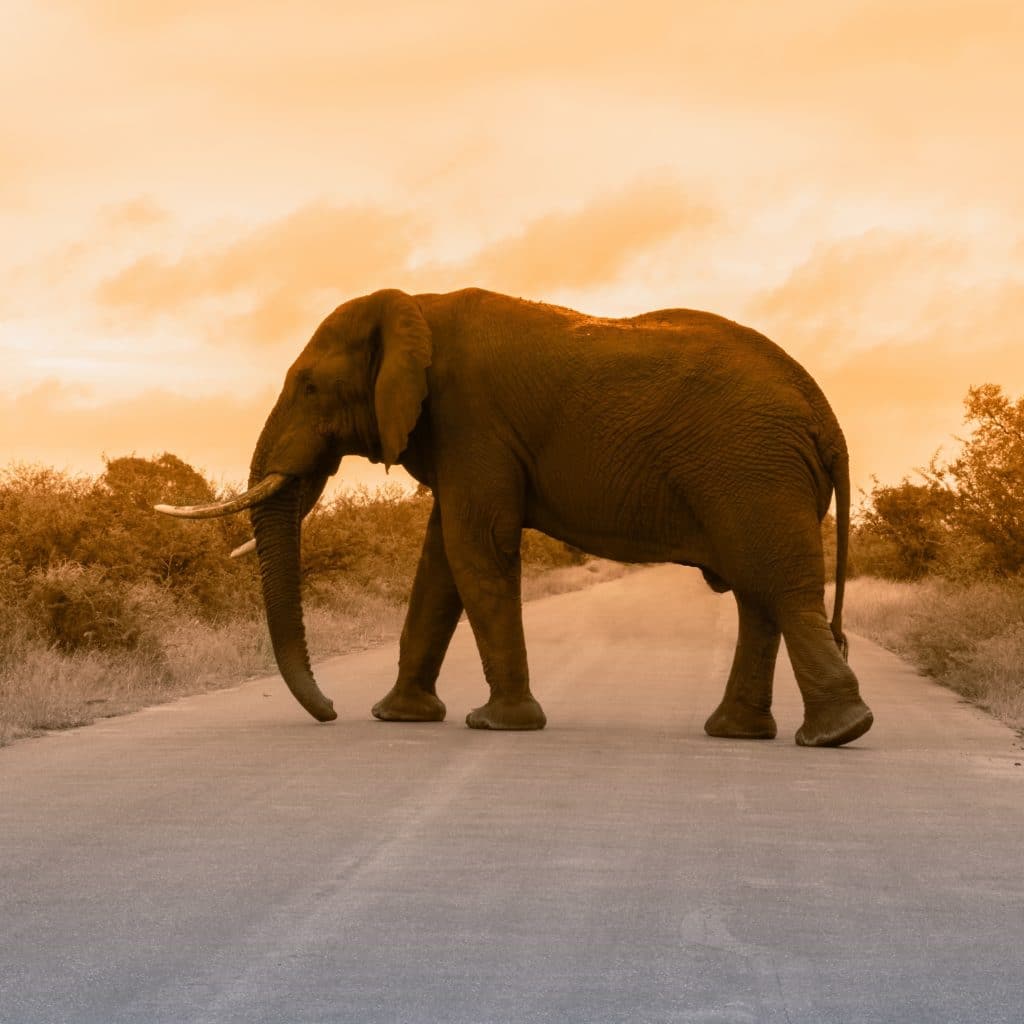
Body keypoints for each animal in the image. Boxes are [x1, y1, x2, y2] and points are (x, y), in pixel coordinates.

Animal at [155, 284, 876, 749]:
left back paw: (836, 735)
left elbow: (474, 546)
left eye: (308, 387)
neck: (416, 306)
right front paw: (399, 718)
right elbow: (440, 563)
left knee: (778, 589)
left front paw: (495, 724)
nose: (330, 711)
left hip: (752, 470)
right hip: (758, 473)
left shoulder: (471, 418)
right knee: (760, 598)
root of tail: (828, 417)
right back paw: (742, 733)